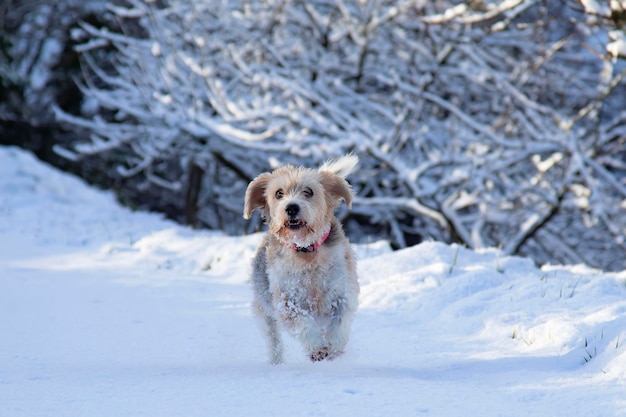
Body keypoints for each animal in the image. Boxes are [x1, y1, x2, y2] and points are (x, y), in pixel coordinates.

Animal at [244, 154, 360, 362]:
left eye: (309, 191)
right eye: (279, 193)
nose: (291, 208)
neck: (306, 252)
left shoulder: (342, 290)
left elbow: (340, 319)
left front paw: (335, 347)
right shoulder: (286, 299)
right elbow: (300, 320)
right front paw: (317, 348)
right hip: (264, 312)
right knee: (274, 341)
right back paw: (276, 362)